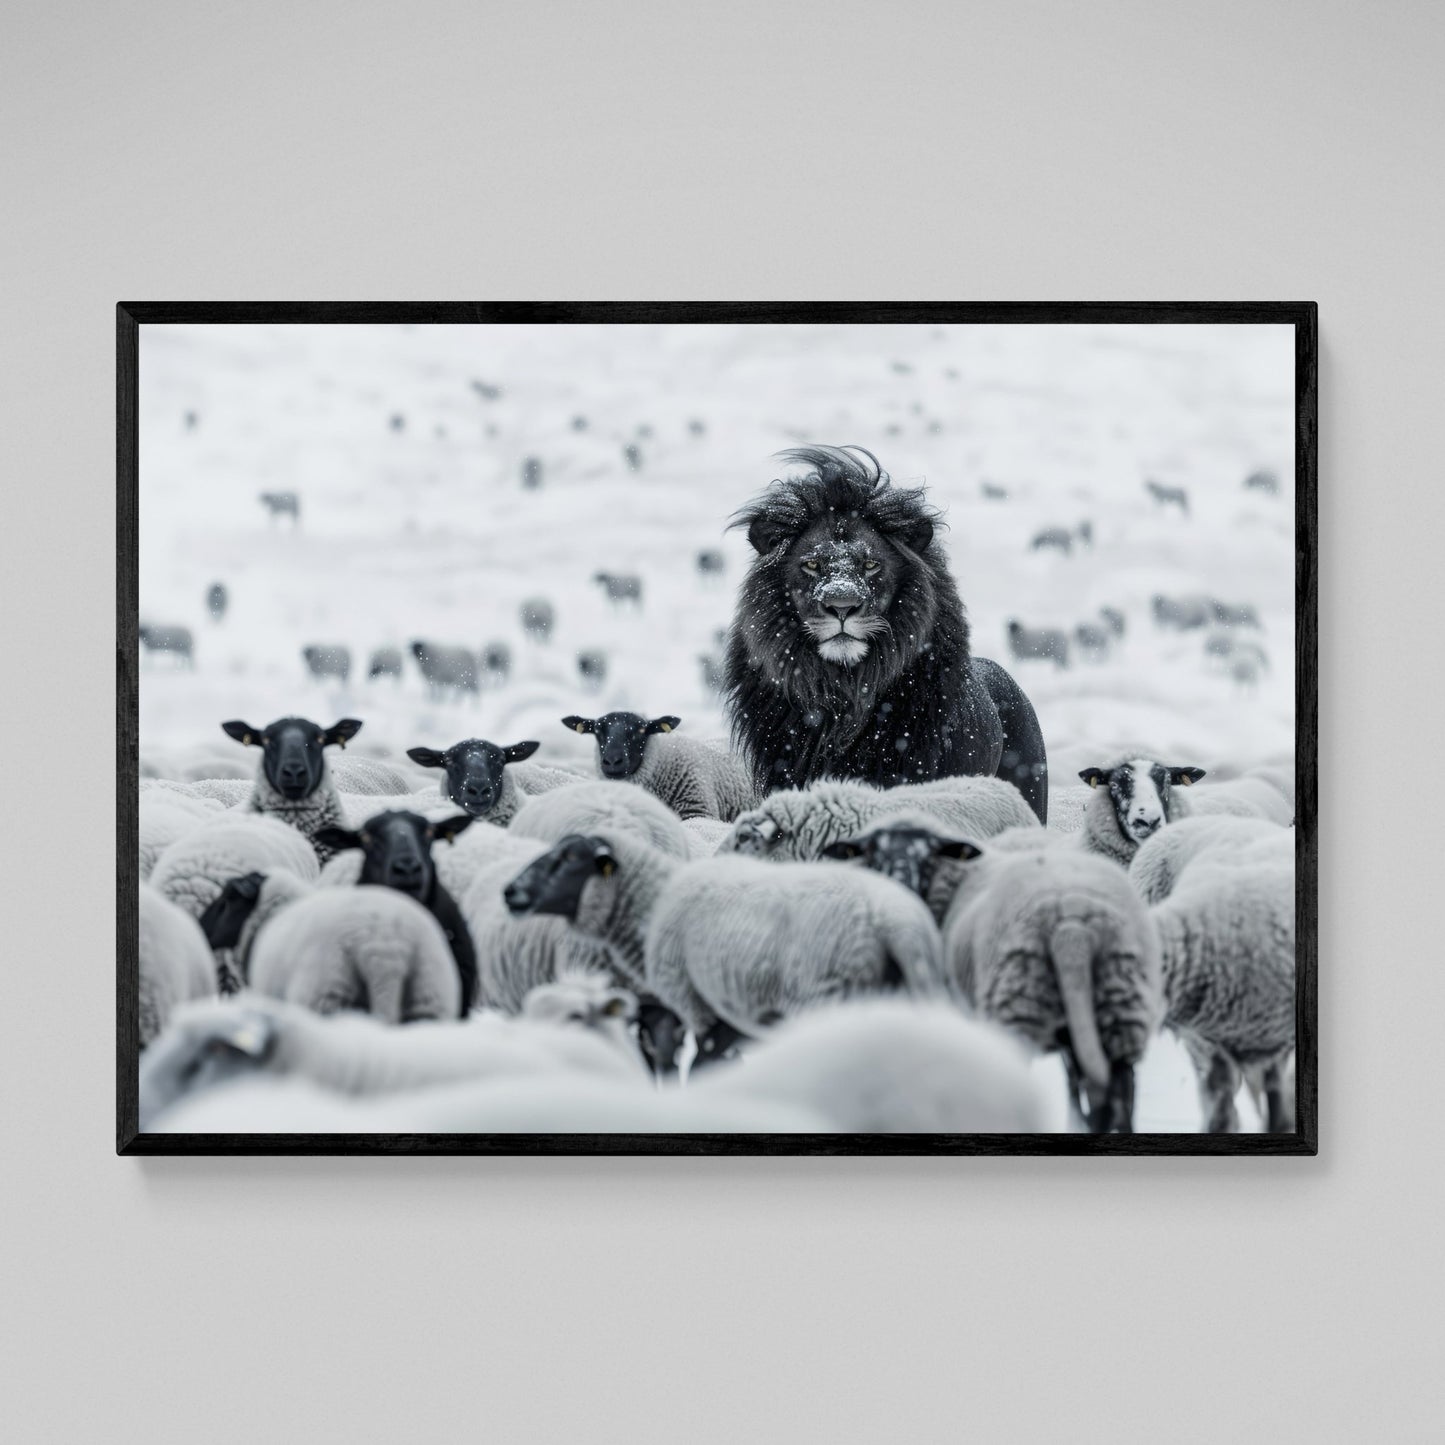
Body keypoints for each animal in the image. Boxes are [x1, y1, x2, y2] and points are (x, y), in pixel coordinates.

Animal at [504, 833, 948, 1069]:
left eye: (569, 858)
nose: (509, 891)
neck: (654, 901)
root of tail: (895, 921)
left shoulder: (697, 1006)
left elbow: (696, 1067)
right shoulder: (733, 1018)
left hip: (828, 997)